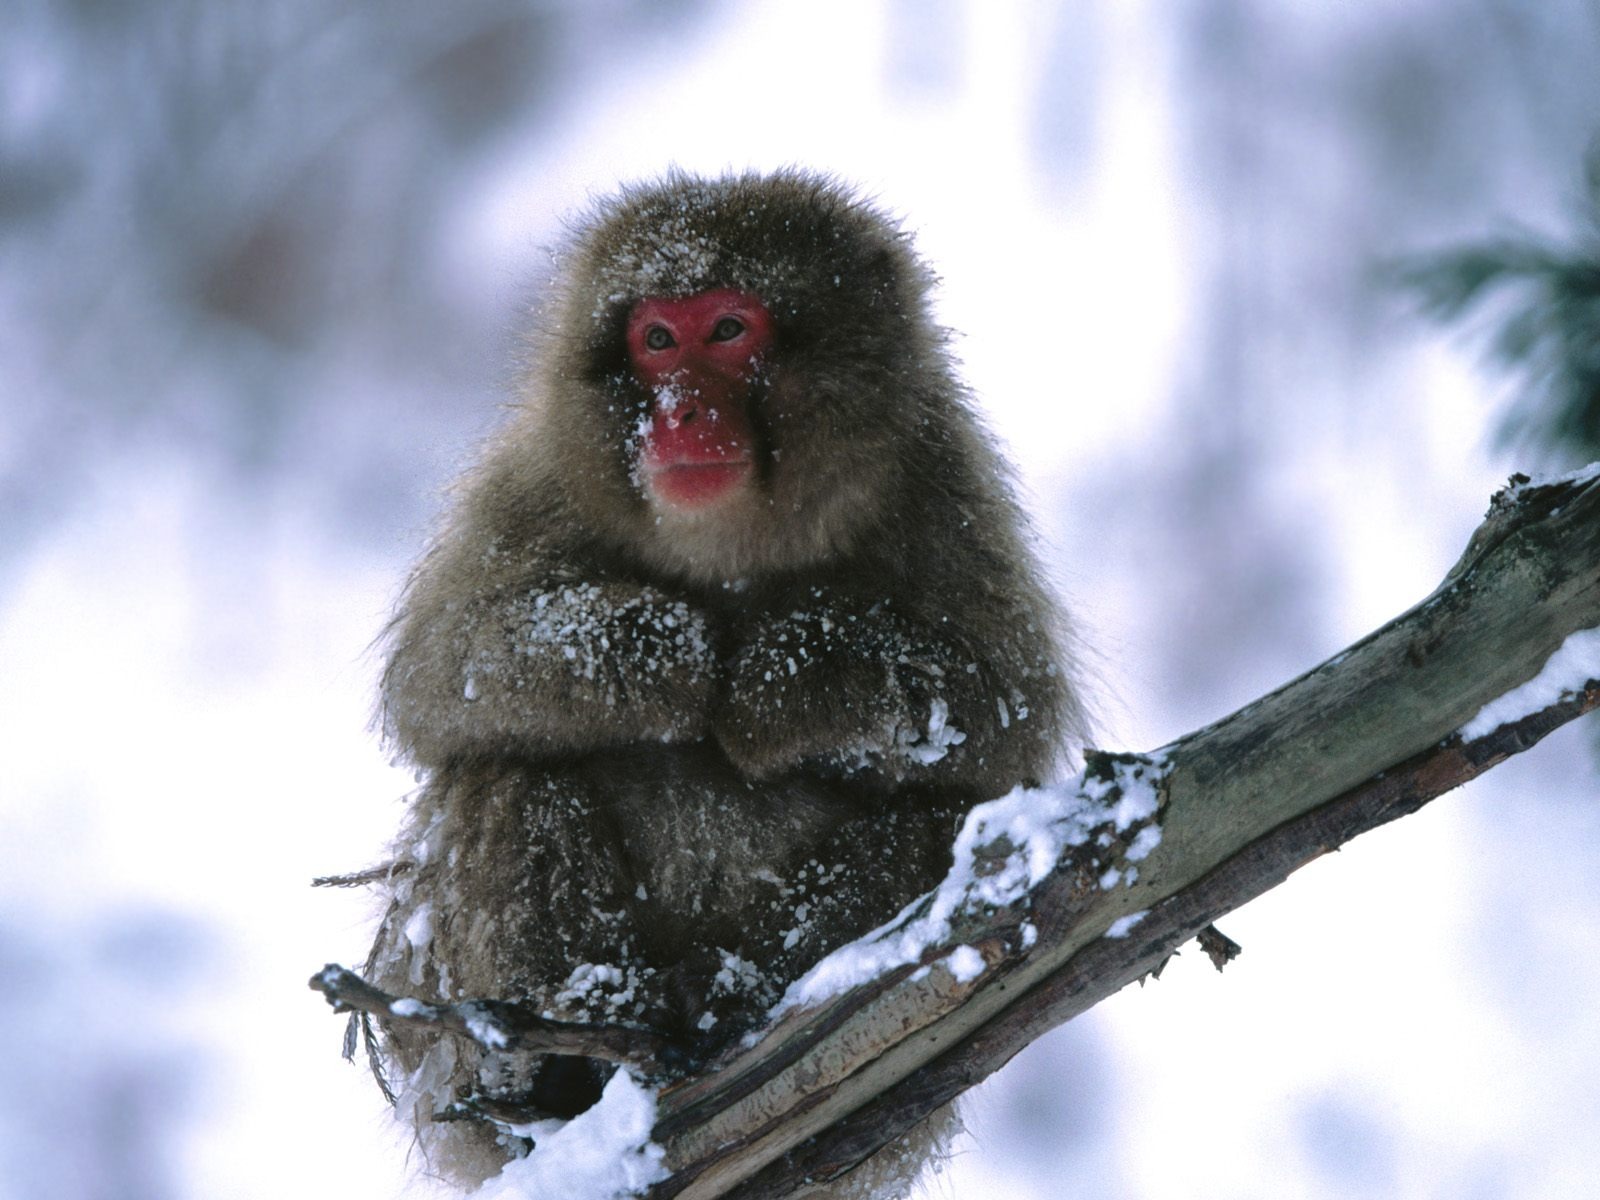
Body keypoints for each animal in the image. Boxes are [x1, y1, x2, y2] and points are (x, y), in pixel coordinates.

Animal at [363, 173, 1088, 1196]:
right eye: (659, 340)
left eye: (730, 330)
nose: (677, 412)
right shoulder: (536, 477)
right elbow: (436, 676)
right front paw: (675, 653)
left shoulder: (942, 487)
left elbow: (1008, 720)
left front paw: (777, 679)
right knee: (506, 776)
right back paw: (562, 1058)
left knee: (942, 819)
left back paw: (727, 998)